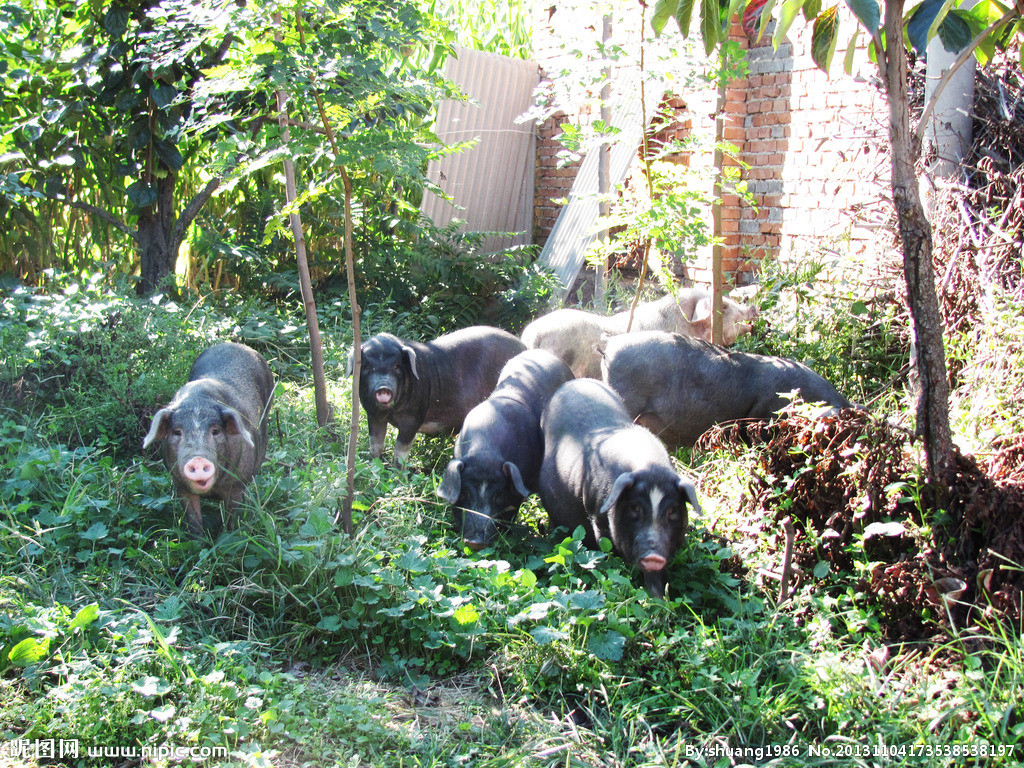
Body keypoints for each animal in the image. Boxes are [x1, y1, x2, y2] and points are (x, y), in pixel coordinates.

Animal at [142, 342, 276, 536]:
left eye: (216, 431)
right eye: (177, 432)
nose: (198, 459)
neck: (198, 403)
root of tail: (237, 344)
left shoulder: (235, 485)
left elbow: (232, 518)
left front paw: (228, 535)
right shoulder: (180, 485)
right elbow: (193, 521)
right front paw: (200, 539)